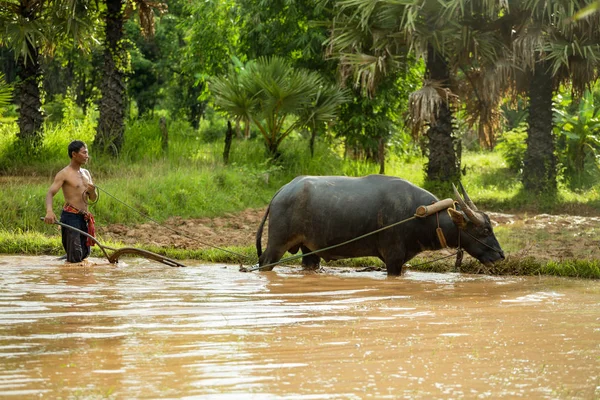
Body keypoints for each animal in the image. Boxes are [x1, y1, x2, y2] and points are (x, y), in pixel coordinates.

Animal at [255, 175, 504, 276]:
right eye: (484, 230)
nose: (500, 255)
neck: (419, 215)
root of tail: (282, 191)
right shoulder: (393, 258)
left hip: (310, 251)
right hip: (276, 245)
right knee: (265, 263)